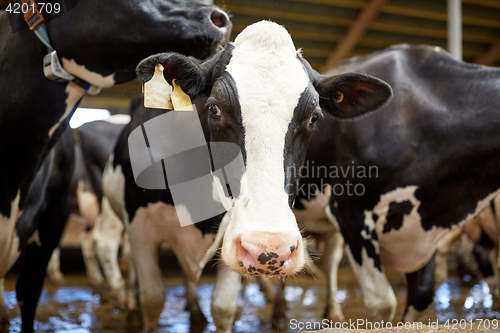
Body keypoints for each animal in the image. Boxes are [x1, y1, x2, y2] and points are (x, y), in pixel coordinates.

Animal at [101, 21, 392, 332]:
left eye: (314, 117)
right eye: (214, 107)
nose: (271, 247)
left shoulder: (232, 227)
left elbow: (223, 306)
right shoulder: (139, 227)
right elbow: (153, 298)